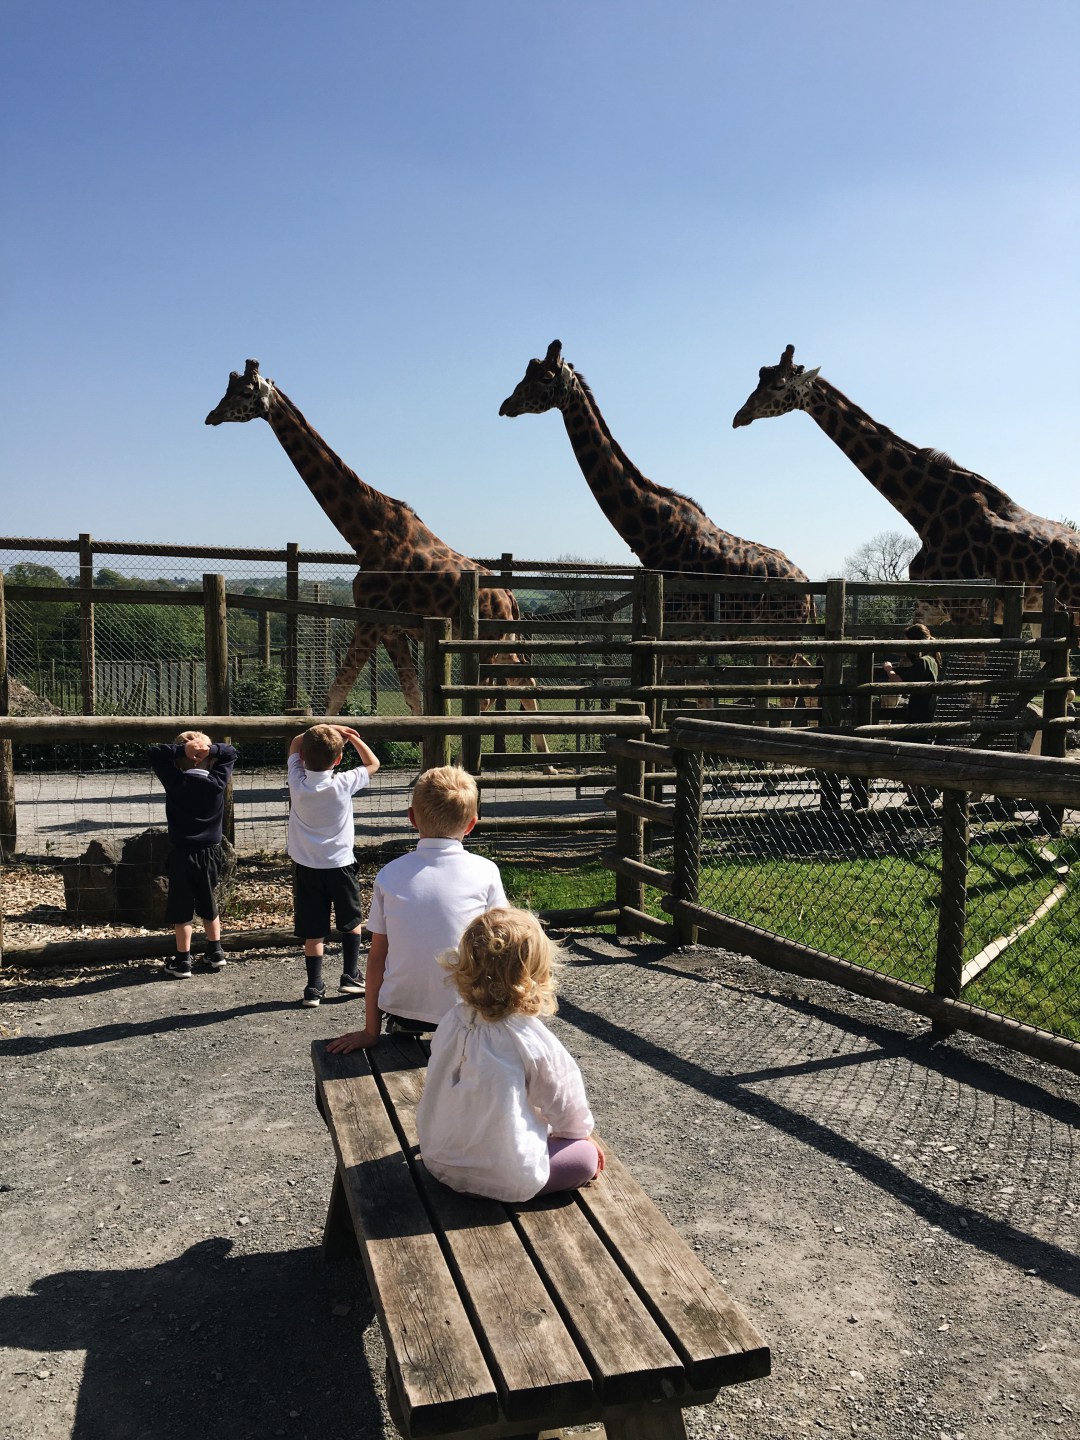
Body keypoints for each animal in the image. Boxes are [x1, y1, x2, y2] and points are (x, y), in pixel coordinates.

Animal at [207, 358, 552, 760]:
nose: (211, 416)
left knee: (491, 694)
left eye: (245, 392)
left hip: (488, 643)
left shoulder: (370, 620)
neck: (364, 534)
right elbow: (412, 696)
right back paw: (547, 762)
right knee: (524, 681)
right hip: (500, 641)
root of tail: (510, 598)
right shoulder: (390, 629)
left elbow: (338, 690)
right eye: (227, 389)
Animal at [504, 332, 817, 702]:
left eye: (546, 377)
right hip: (769, 638)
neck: (654, 533)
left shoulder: (685, 637)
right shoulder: (666, 637)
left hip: (784, 639)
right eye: (527, 372)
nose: (506, 405)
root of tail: (808, 587)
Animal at [731, 345, 1080, 627]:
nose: (739, 416)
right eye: (759, 379)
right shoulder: (928, 606)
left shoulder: (968, 608)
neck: (926, 514)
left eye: (778, 385)